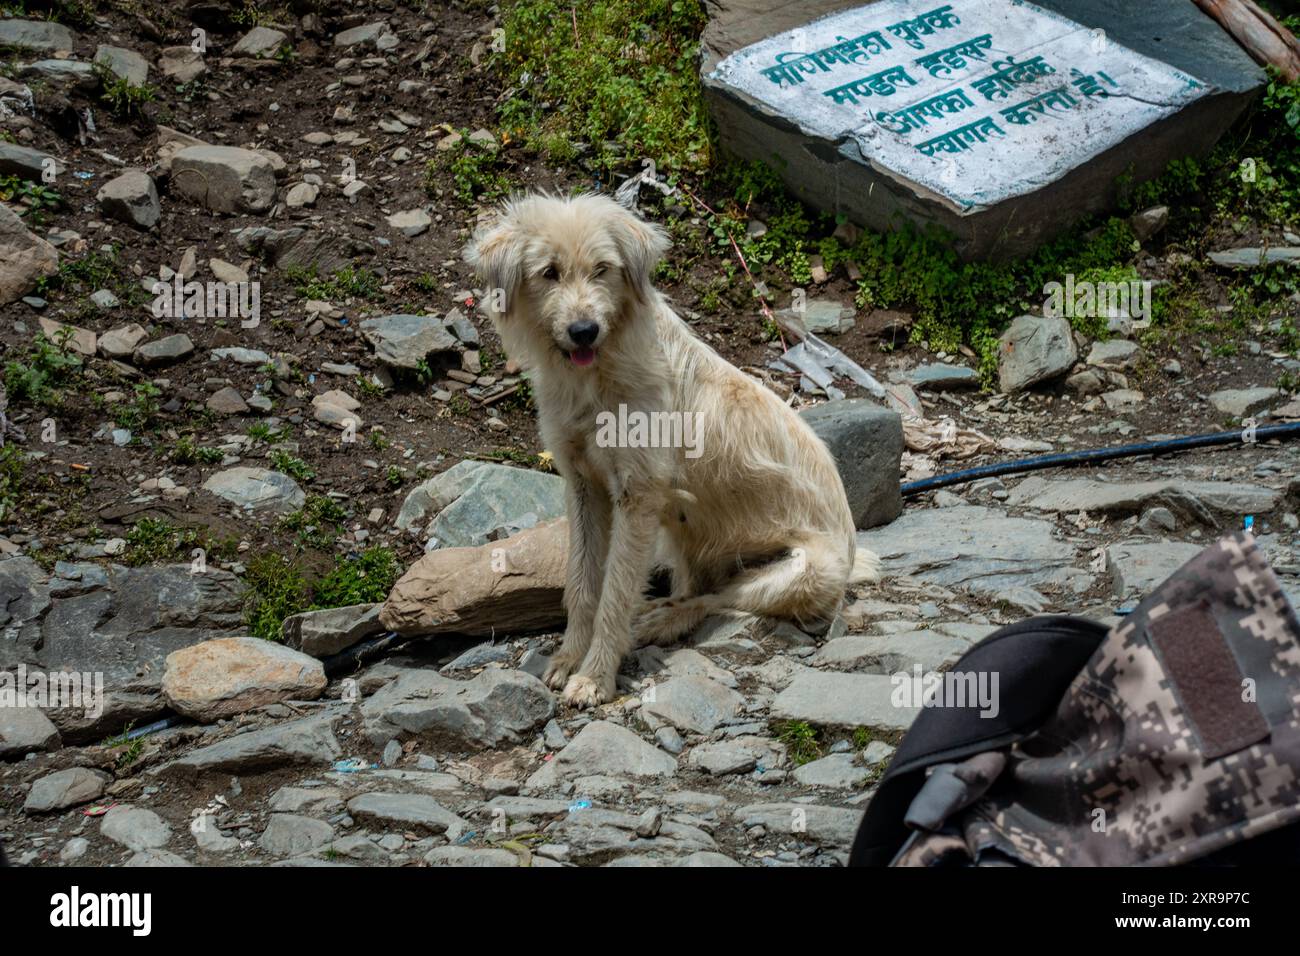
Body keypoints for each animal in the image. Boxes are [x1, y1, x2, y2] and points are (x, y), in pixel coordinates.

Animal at [462, 191, 878, 707]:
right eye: (549, 272)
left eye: (602, 269)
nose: (584, 330)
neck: (595, 378)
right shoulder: (583, 486)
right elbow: (582, 582)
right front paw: (567, 658)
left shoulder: (638, 498)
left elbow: (616, 593)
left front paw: (594, 677)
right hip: (689, 544)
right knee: (703, 587)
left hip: (805, 571)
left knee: (721, 598)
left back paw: (663, 619)